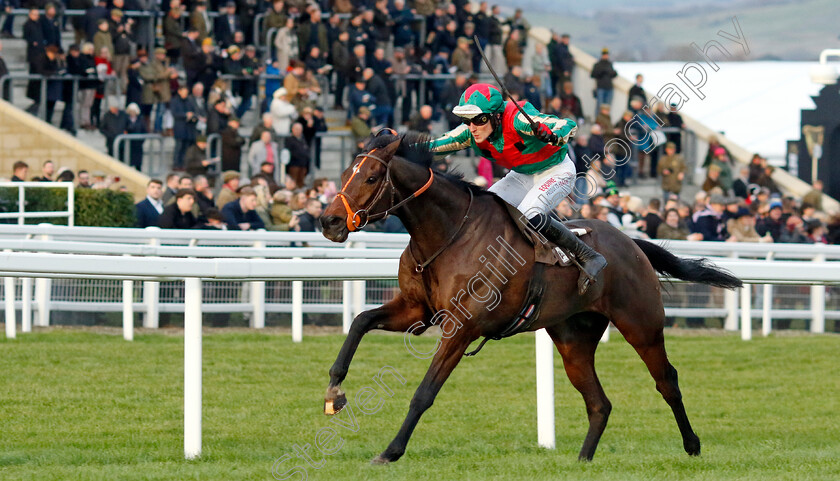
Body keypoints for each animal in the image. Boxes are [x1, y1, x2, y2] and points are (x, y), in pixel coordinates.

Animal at [316, 130, 740, 462]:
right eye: (344, 174)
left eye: (371, 177)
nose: (329, 221)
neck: (448, 235)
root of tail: (631, 243)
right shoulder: (416, 309)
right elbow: (360, 322)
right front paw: (334, 391)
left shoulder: (460, 328)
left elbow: (424, 393)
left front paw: (390, 451)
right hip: (573, 339)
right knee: (598, 402)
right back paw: (583, 460)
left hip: (642, 324)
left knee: (666, 380)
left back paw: (692, 445)